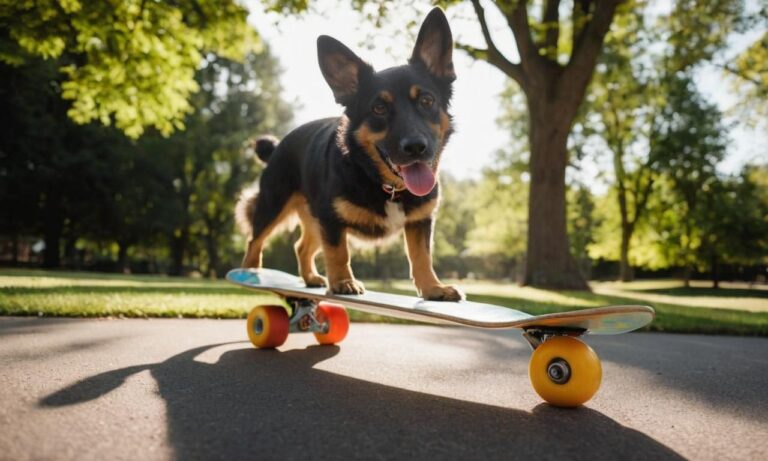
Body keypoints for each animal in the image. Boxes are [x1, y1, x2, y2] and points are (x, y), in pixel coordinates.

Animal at [234, 9, 462, 302]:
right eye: (378, 108)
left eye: (427, 101)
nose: (415, 147)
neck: (384, 184)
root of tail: (277, 146)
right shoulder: (331, 221)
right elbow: (338, 252)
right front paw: (343, 281)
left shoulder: (420, 221)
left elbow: (422, 255)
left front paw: (433, 288)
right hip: (274, 205)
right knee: (256, 239)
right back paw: (249, 271)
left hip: (312, 218)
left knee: (301, 247)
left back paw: (309, 278)